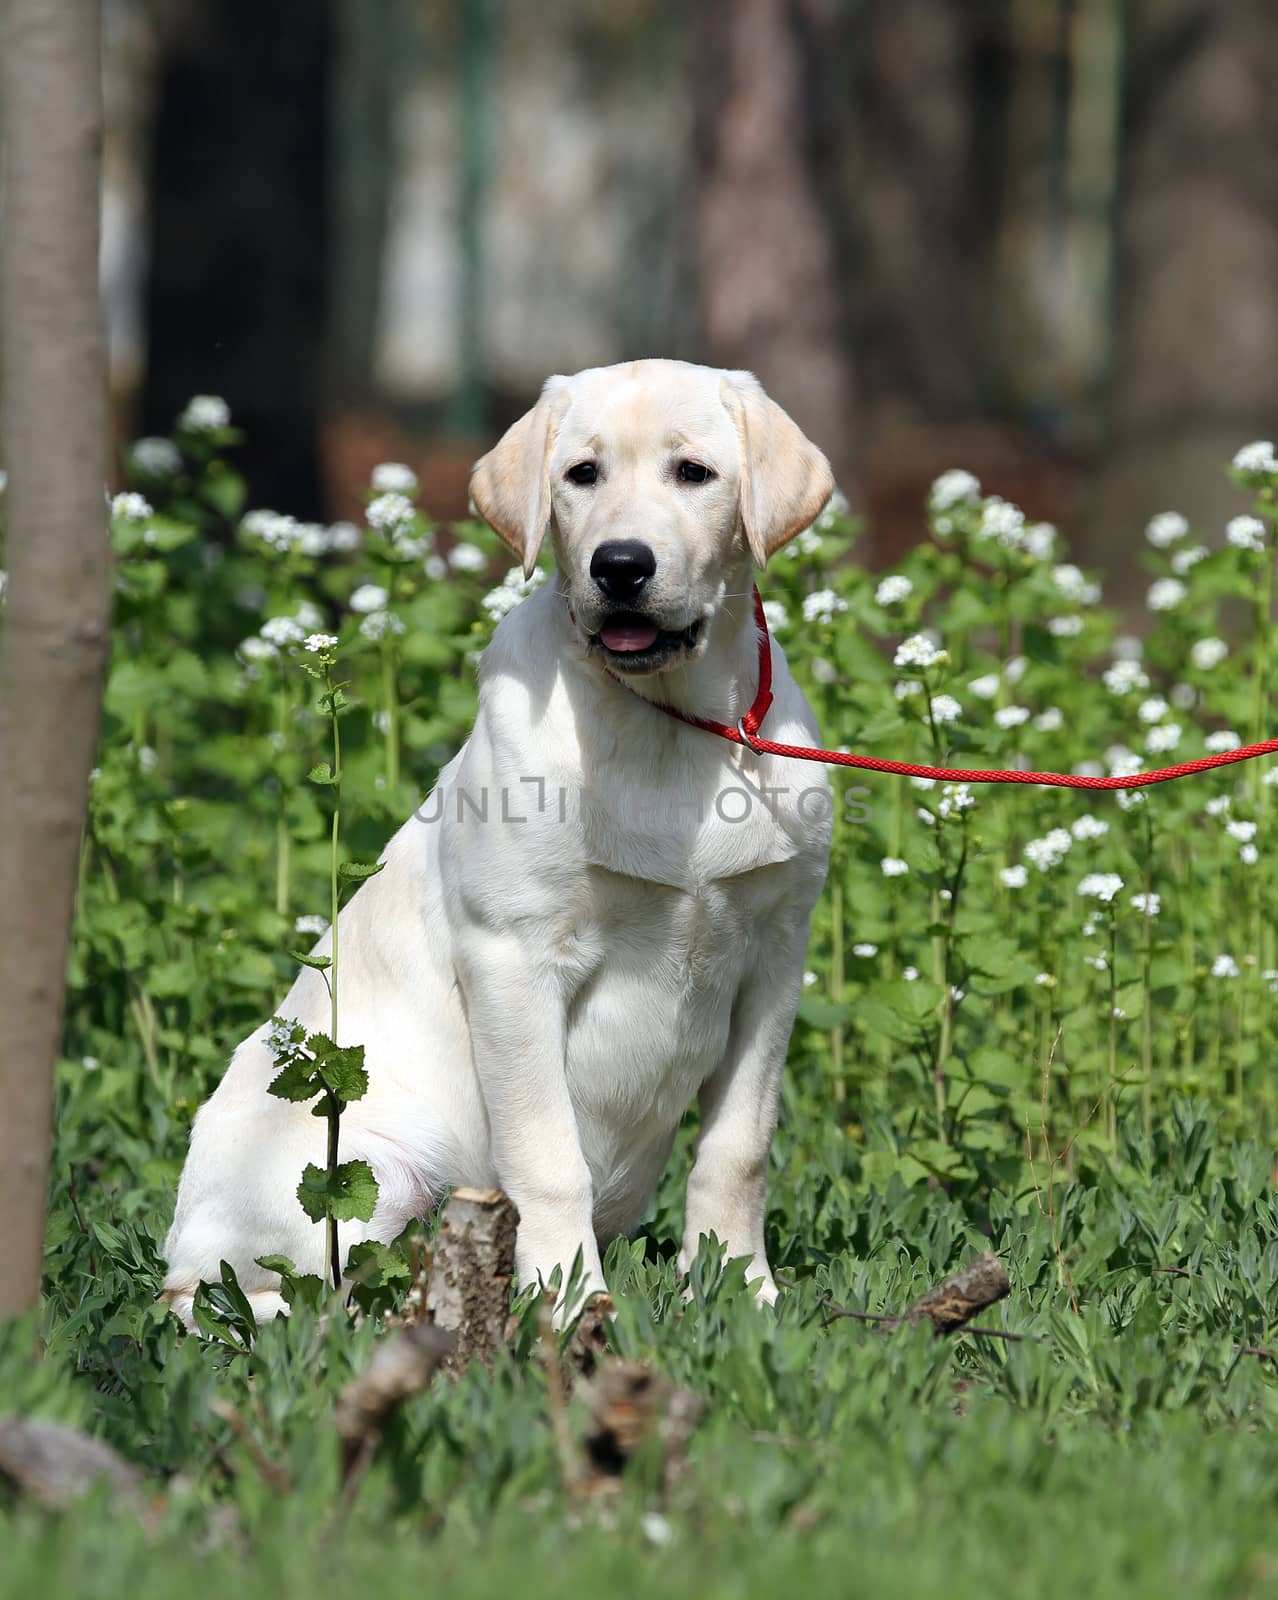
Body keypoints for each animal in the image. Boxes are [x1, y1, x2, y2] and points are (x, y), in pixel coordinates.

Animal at [159, 363, 831, 1324]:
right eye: (582, 474)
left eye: (694, 473)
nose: (619, 564)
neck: (670, 725)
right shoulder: (514, 958)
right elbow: (548, 1159)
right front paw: (566, 1302)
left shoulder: (773, 960)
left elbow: (738, 1150)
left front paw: (742, 1293)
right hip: (357, 1171)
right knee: (273, 1293)